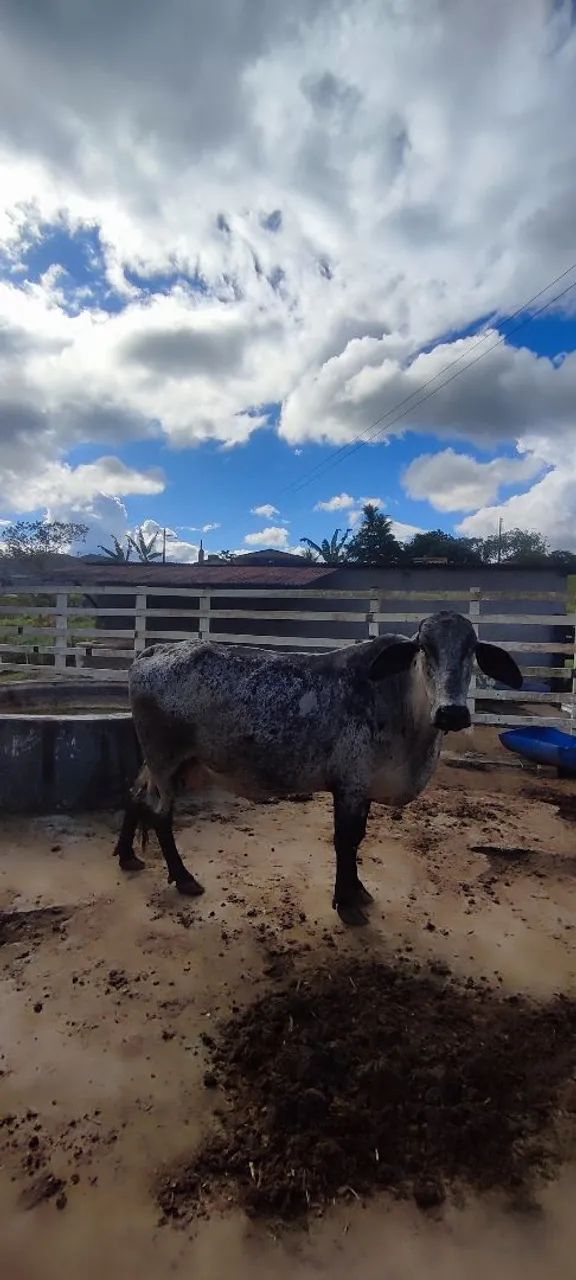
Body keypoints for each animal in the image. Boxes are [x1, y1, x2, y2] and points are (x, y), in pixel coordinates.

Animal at [114, 611, 522, 925]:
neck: (401, 703)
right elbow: (345, 841)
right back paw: (183, 878)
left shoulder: (364, 788)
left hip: (162, 762)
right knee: (159, 813)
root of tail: (154, 650)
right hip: (166, 759)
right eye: (424, 647)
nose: (452, 712)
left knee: (135, 794)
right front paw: (347, 904)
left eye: (472, 649)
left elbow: (358, 840)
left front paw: (358, 890)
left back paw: (128, 855)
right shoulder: (349, 787)